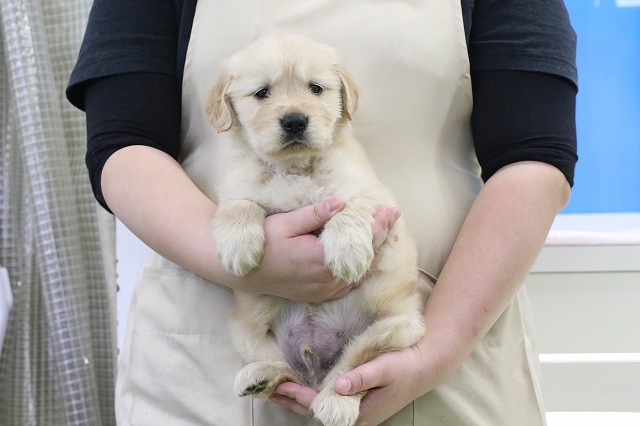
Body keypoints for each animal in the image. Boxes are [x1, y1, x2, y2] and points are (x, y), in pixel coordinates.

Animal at [205, 35, 424, 426]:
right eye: (262, 92)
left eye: (316, 88)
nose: (295, 121)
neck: (293, 168)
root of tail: (315, 369)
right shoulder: (235, 187)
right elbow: (241, 204)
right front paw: (238, 246)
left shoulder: (373, 195)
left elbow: (350, 207)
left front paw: (347, 251)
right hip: (245, 331)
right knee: (286, 370)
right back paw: (260, 376)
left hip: (395, 329)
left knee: (348, 370)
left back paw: (336, 402)